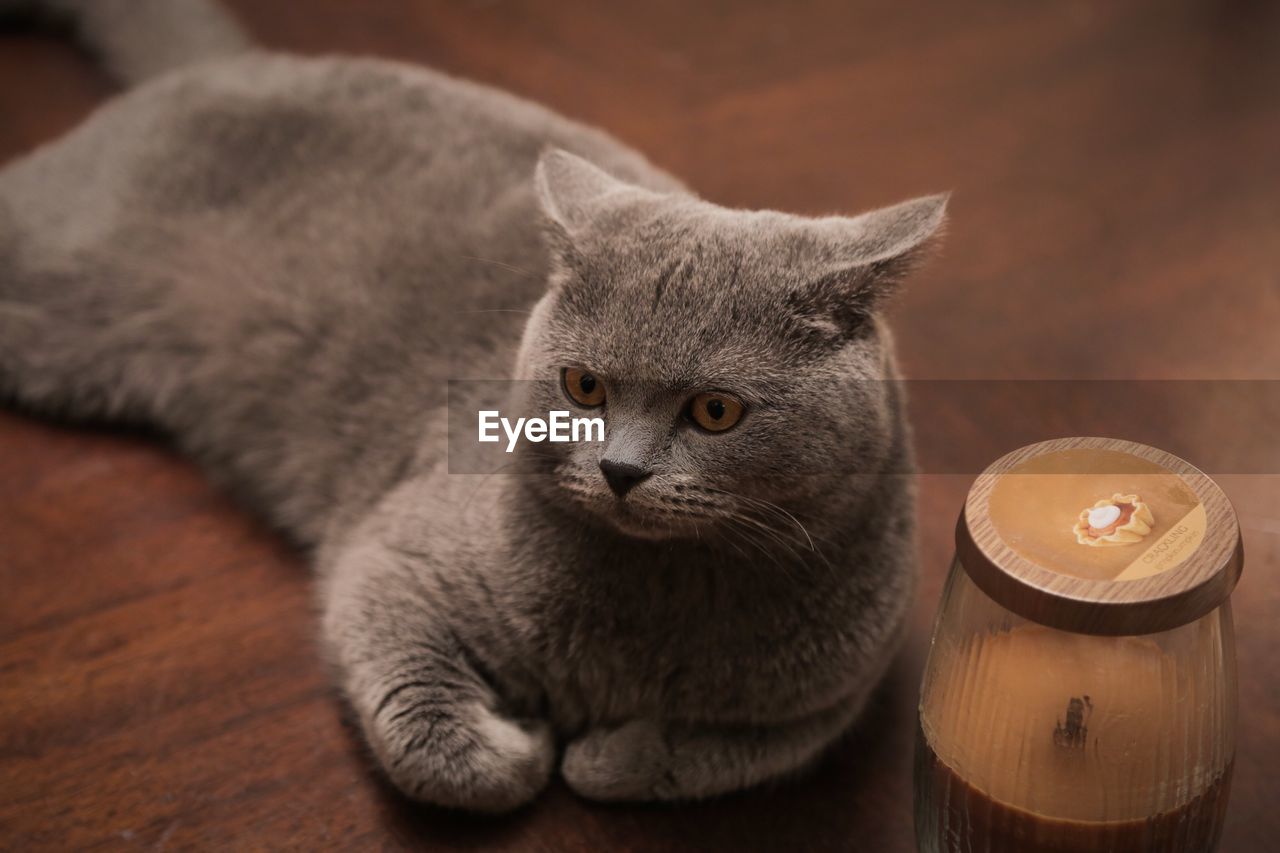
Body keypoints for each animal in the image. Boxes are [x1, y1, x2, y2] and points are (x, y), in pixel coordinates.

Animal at [0, 0, 942, 809]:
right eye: (584, 386)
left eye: (715, 412)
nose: (620, 469)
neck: (655, 600)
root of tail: (233, 63)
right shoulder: (391, 560)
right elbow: (434, 743)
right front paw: (520, 743)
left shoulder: (829, 697)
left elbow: (691, 756)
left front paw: (600, 751)